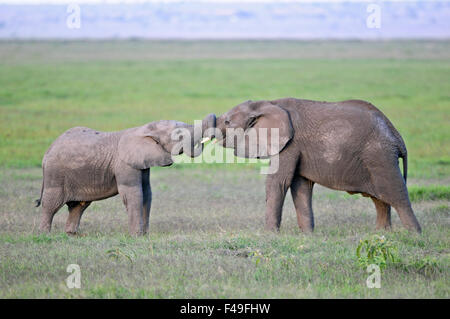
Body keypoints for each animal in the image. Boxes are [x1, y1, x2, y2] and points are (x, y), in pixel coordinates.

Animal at [36, 114, 216, 235]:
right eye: (179, 135)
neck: (143, 129)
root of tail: (47, 152)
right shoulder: (124, 164)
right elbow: (133, 193)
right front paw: (136, 236)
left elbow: (147, 193)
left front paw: (144, 235)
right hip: (55, 174)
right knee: (51, 204)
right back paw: (44, 235)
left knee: (78, 206)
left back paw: (71, 235)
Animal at [211, 99, 422, 234]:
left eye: (228, 122)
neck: (267, 102)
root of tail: (397, 137)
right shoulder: (297, 148)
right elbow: (301, 186)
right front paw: (307, 235)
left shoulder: (290, 143)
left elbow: (278, 182)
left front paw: (269, 235)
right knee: (380, 199)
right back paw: (381, 234)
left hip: (380, 157)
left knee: (396, 195)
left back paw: (414, 235)